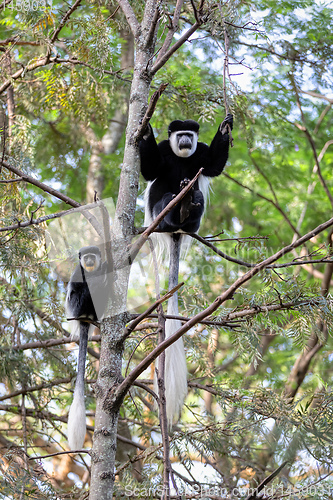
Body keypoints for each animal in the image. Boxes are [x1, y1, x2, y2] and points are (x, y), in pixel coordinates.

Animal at [139, 114, 232, 426]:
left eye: (190, 136)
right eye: (179, 134)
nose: (184, 141)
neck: (181, 156)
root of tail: (175, 232)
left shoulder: (200, 153)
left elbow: (214, 165)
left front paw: (226, 125)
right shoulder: (163, 152)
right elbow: (149, 171)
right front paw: (145, 130)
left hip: (194, 218)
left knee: (197, 198)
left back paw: (189, 205)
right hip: (159, 214)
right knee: (166, 195)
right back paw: (176, 207)